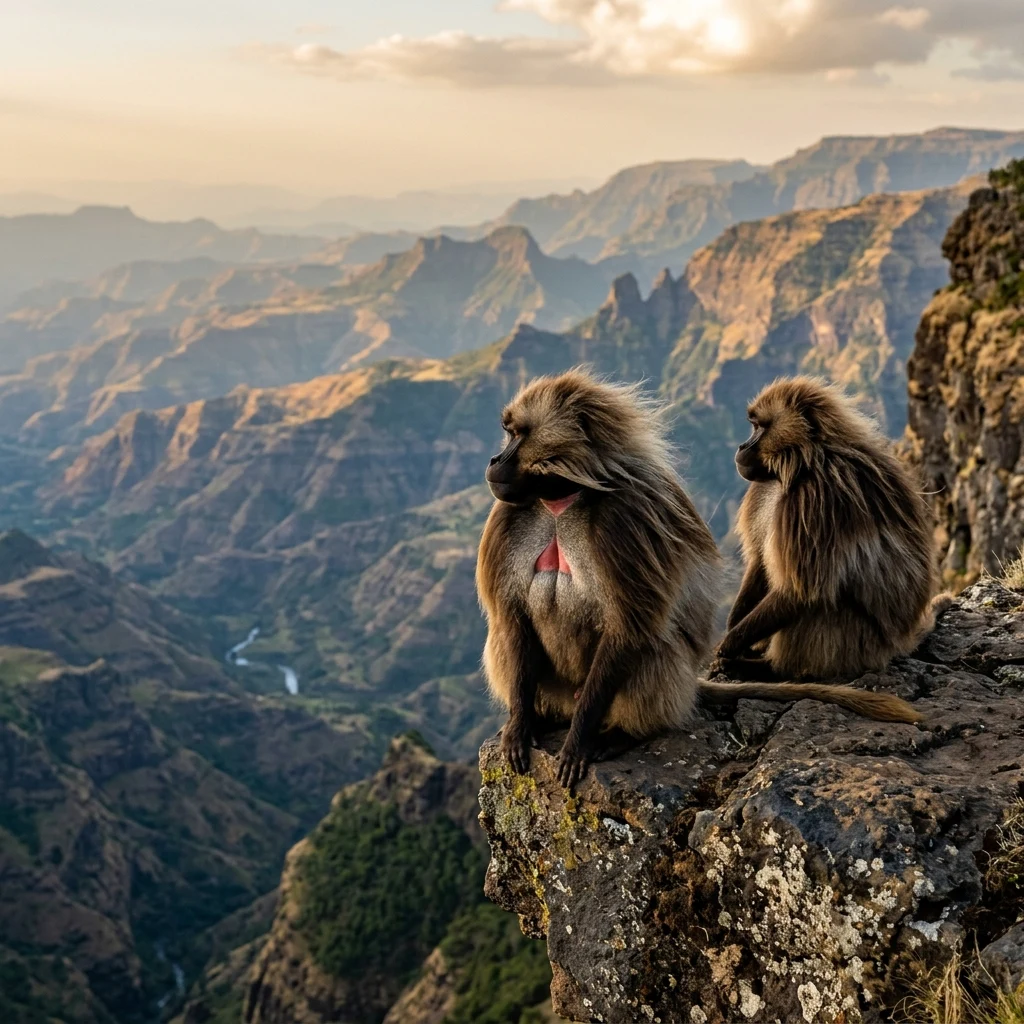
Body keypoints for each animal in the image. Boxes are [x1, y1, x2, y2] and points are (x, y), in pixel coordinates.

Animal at [715, 375, 941, 681]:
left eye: (760, 427)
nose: (741, 448)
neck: (803, 464)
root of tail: (898, 644)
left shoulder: (817, 501)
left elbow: (798, 590)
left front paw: (730, 646)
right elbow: (760, 563)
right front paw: (732, 630)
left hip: (859, 646)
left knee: (818, 599)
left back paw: (769, 669)